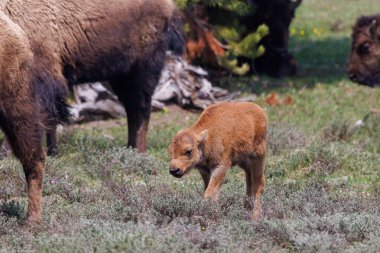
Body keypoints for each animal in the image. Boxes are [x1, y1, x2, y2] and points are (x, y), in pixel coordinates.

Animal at [0, 0, 184, 223]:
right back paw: (130, 148)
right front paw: (53, 151)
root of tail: (170, 7)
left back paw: (138, 152)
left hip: (141, 68)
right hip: (121, 74)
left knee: (140, 109)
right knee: (133, 110)